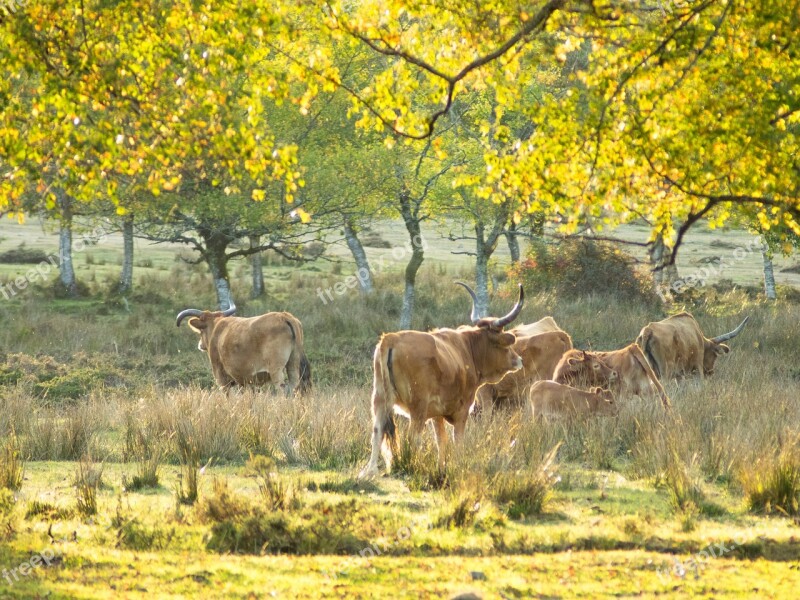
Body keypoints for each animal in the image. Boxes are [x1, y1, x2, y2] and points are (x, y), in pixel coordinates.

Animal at [177, 302, 310, 396]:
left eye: (201, 330)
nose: (200, 345)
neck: (217, 327)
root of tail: (284, 317)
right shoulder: (246, 382)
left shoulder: (222, 379)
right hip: (293, 366)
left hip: (276, 371)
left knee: (282, 389)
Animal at [358, 282, 524, 478]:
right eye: (506, 345)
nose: (518, 359)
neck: (468, 349)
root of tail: (391, 338)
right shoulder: (461, 412)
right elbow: (457, 440)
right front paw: (457, 467)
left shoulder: (436, 414)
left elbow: (441, 441)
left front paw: (441, 469)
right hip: (418, 408)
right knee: (413, 437)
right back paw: (413, 466)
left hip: (380, 400)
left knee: (377, 431)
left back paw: (370, 470)